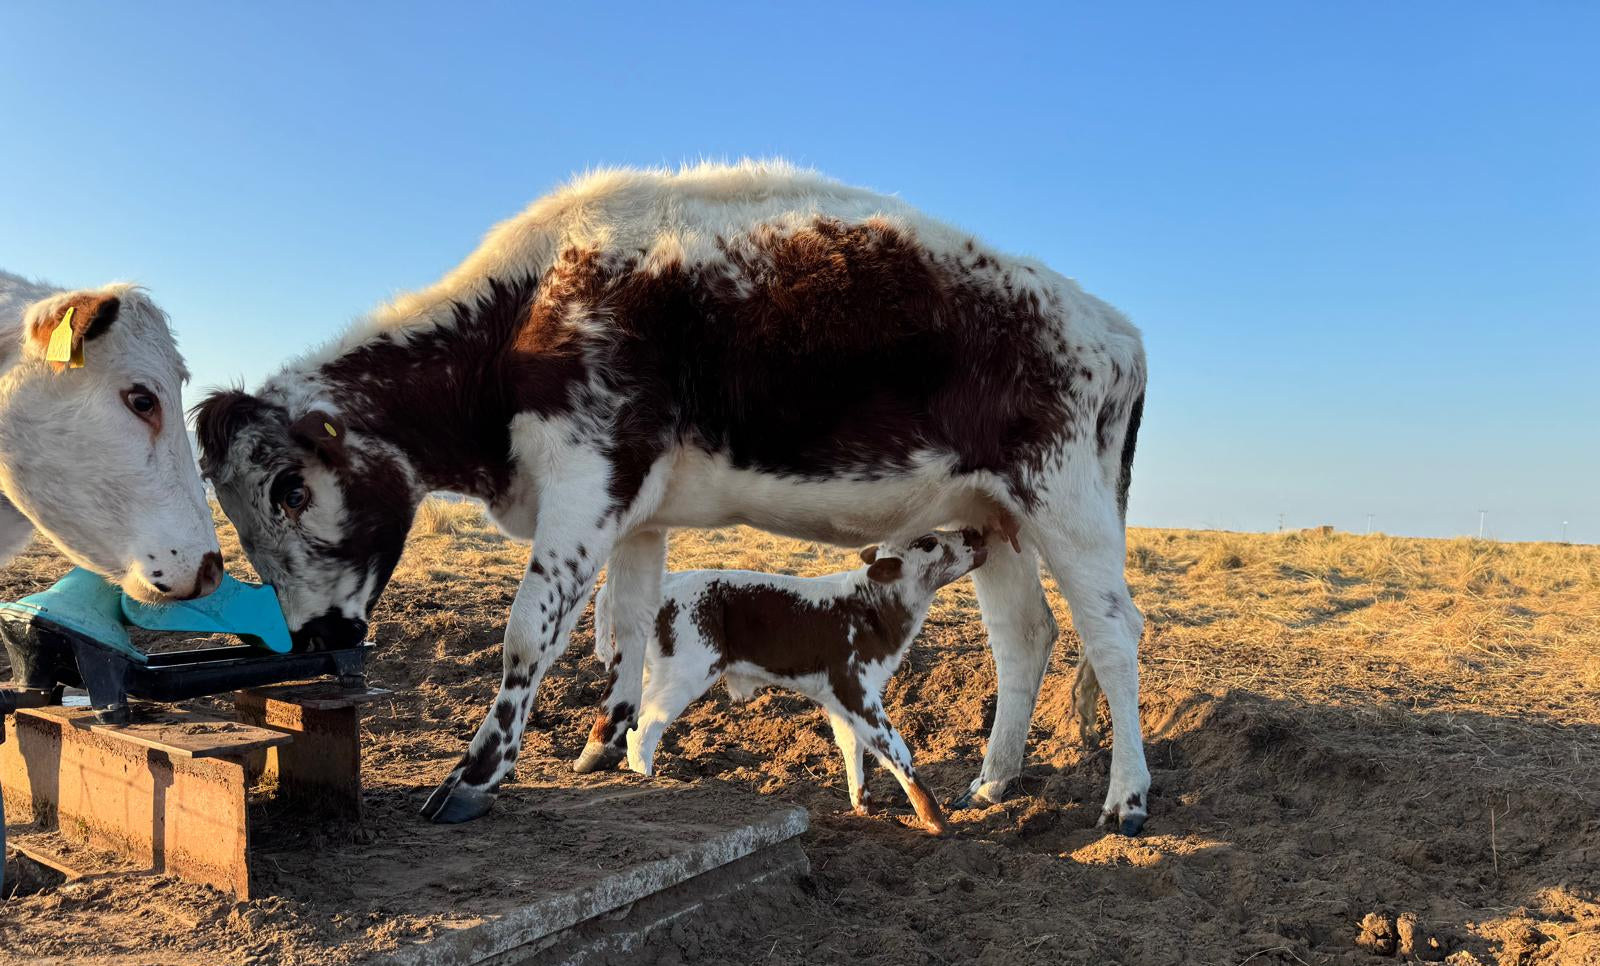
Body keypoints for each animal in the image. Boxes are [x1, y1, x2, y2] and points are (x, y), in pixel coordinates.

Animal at [600, 528, 992, 835]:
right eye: (928, 542)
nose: (974, 534)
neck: (872, 607)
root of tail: (670, 579)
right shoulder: (855, 687)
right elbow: (895, 749)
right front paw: (936, 821)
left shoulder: (839, 698)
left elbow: (851, 745)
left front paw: (864, 806)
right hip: (689, 670)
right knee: (644, 731)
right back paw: (650, 781)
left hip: (658, 672)